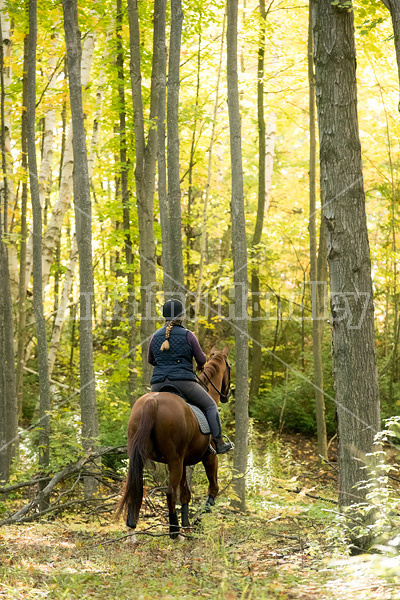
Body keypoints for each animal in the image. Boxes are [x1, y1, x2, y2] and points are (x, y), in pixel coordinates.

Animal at [116, 346, 231, 540]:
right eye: (229, 367)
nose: (226, 395)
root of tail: (152, 401)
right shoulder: (209, 457)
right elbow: (213, 489)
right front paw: (196, 522)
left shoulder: (184, 463)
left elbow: (185, 494)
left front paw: (187, 525)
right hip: (174, 460)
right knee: (170, 492)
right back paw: (174, 531)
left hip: (140, 457)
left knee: (136, 486)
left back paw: (131, 528)